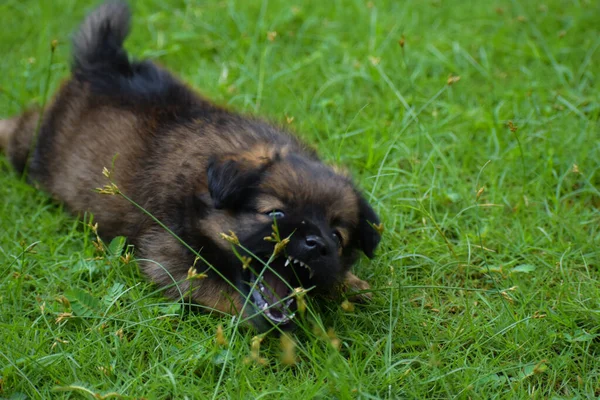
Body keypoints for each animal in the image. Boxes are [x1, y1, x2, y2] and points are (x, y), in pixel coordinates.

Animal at [0, 1, 382, 330]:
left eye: (337, 236)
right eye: (274, 213)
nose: (317, 244)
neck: (202, 188)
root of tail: (104, 62)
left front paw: (352, 283)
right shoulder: (167, 258)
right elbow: (222, 292)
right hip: (38, 149)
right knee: (22, 125)